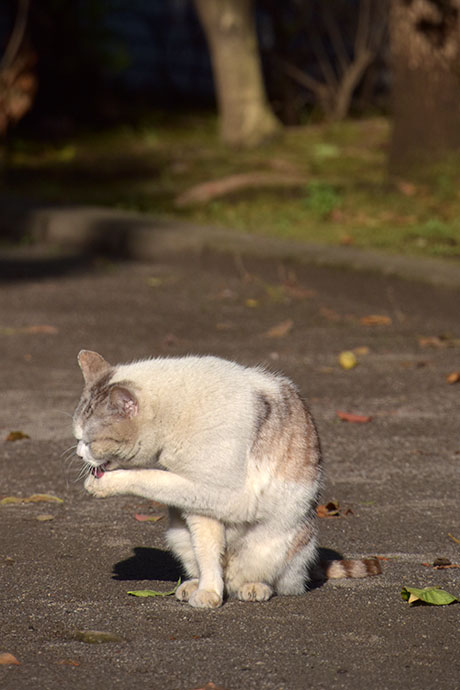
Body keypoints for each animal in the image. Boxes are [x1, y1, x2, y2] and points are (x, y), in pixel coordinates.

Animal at [73, 350, 380, 608]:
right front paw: (208, 590)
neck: (180, 411)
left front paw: (103, 484)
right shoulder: (198, 508)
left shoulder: (219, 493)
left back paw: (254, 587)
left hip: (276, 544)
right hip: (178, 533)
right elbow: (206, 552)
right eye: (77, 437)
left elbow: (152, 477)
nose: (78, 453)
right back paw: (195, 584)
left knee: (282, 582)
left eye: (90, 441)